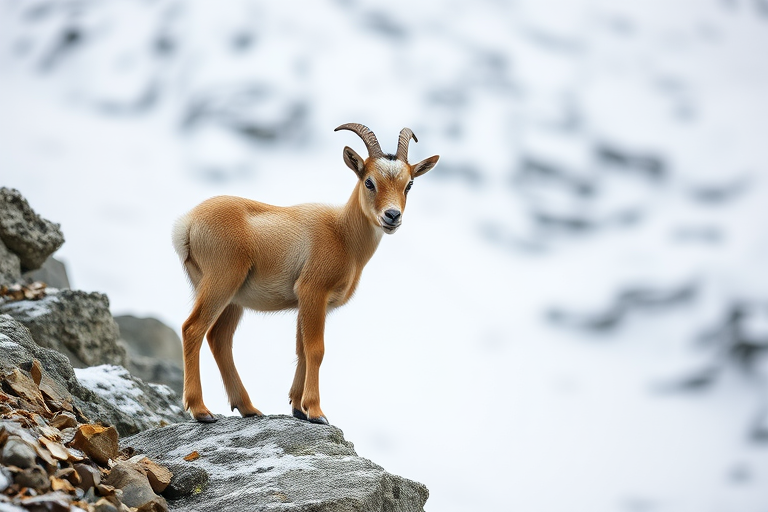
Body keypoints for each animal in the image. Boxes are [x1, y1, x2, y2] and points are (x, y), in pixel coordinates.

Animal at [172, 123, 440, 424]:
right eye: (369, 181)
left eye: (409, 184)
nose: (392, 216)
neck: (342, 233)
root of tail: (187, 224)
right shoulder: (313, 292)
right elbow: (316, 350)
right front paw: (316, 411)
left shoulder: (306, 303)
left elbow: (301, 350)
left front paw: (298, 407)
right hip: (221, 283)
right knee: (193, 329)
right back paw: (200, 409)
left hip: (233, 300)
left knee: (219, 339)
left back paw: (248, 407)